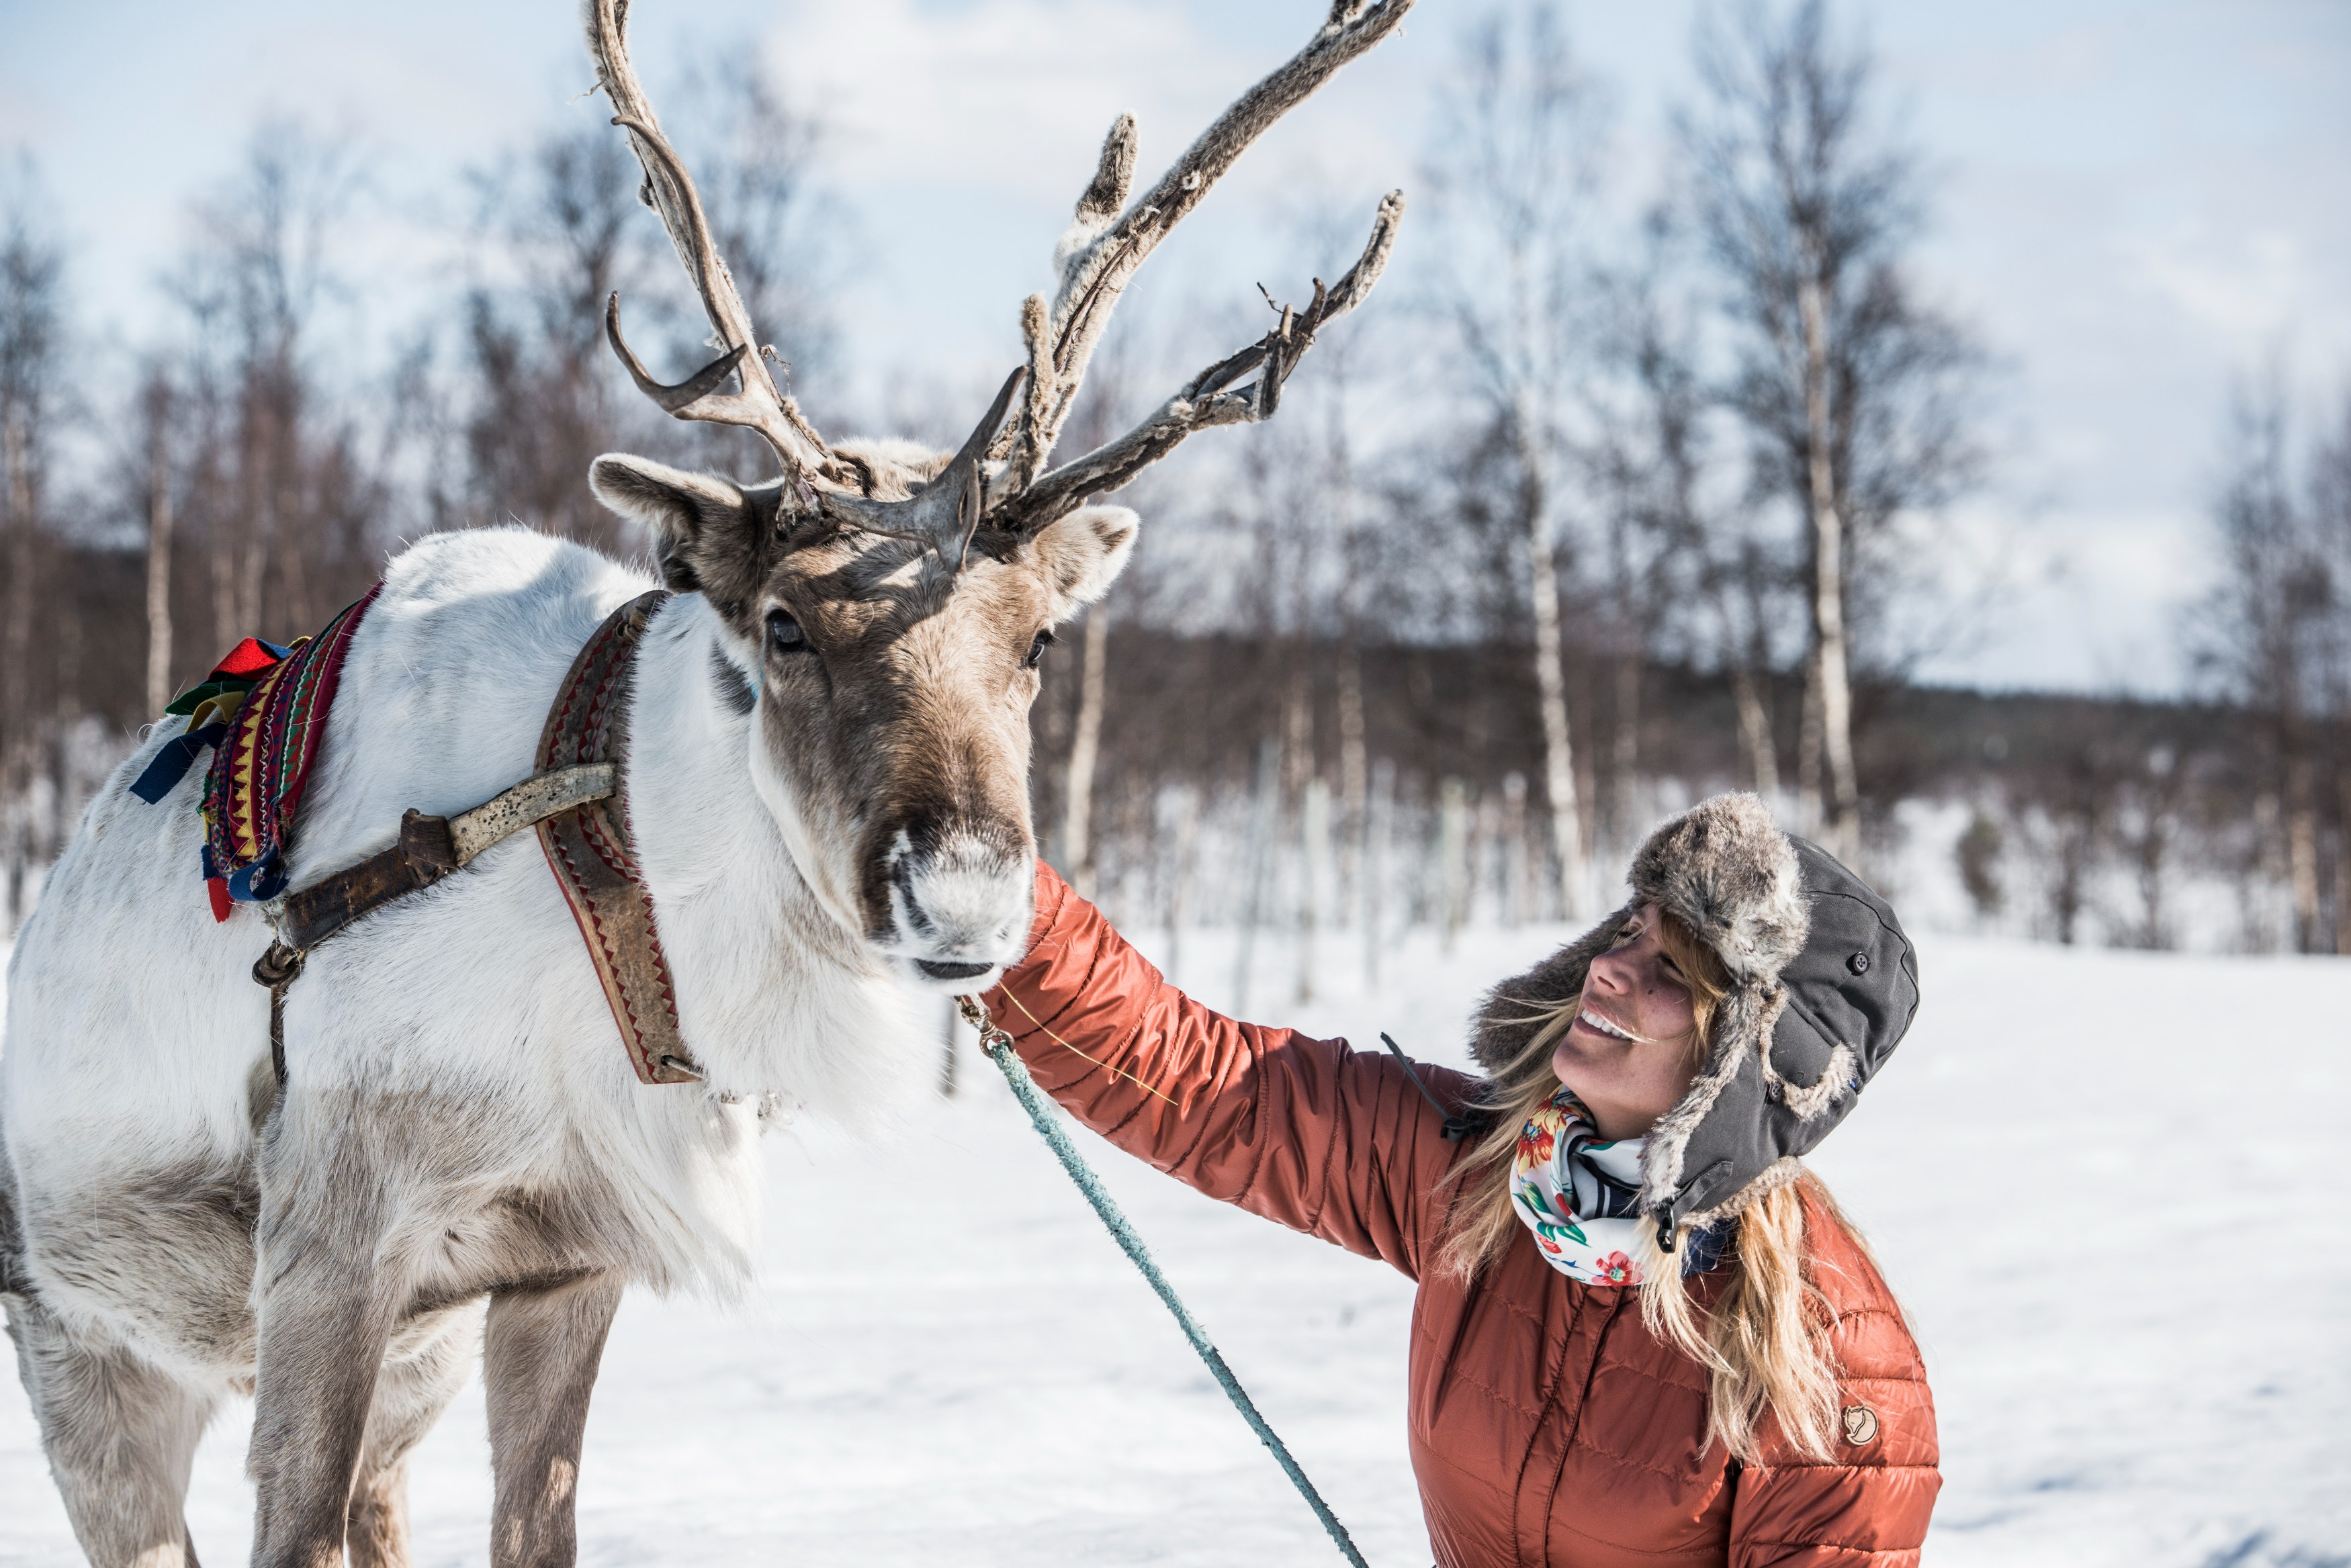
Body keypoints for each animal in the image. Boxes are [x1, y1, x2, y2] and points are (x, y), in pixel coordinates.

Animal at [0, 3, 1410, 1565]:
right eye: (785, 625)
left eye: (1041, 639)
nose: (967, 902)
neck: (618, 907)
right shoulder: (331, 1235)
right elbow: (291, 1529)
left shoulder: (559, 1263)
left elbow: (534, 1529)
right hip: (90, 1356)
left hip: (408, 1372)